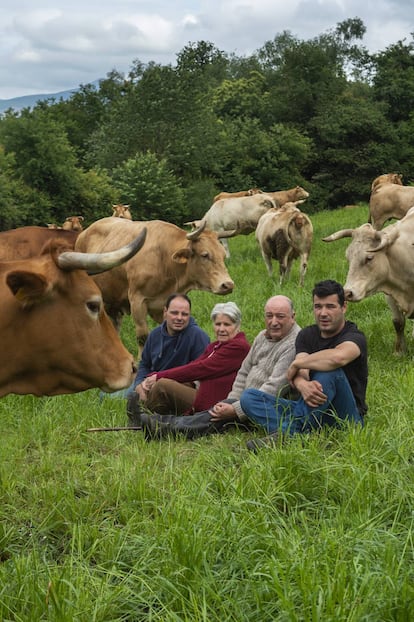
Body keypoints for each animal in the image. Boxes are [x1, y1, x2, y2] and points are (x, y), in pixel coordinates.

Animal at [324, 207, 414, 356]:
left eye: (369, 258)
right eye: (348, 258)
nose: (347, 293)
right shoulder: (390, 294)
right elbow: (398, 322)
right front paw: (399, 352)